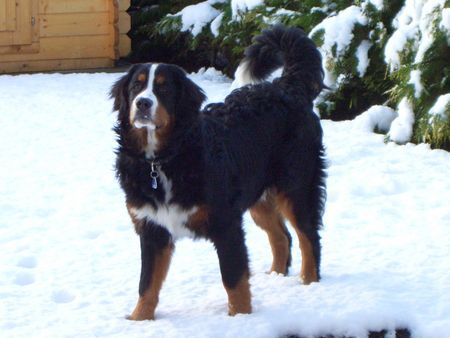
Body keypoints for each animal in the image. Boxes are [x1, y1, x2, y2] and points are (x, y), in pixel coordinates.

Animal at [110, 24, 326, 320]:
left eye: (163, 88)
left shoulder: (225, 224)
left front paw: (241, 318)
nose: (143, 103)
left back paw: (309, 285)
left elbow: (234, 279)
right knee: (282, 237)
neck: (164, 159)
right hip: (258, 197)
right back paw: (275, 278)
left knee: (308, 237)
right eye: (136, 85)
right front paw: (139, 321)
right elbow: (147, 284)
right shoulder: (153, 228)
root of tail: (286, 88)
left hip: (296, 188)